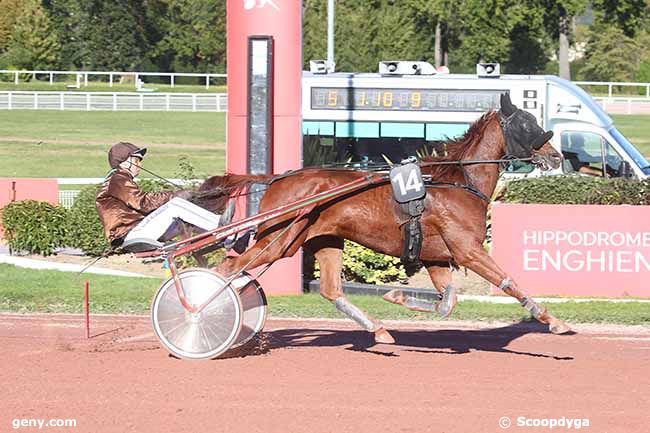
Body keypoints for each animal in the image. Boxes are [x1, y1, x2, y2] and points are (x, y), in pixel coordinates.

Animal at [197, 93, 568, 342]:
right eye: (526, 124)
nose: (556, 156)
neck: (457, 181)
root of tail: (279, 177)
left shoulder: (436, 256)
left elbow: (448, 300)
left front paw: (398, 297)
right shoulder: (467, 250)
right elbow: (507, 281)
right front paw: (552, 320)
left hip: (323, 240)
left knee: (331, 289)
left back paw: (378, 329)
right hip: (279, 240)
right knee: (228, 268)